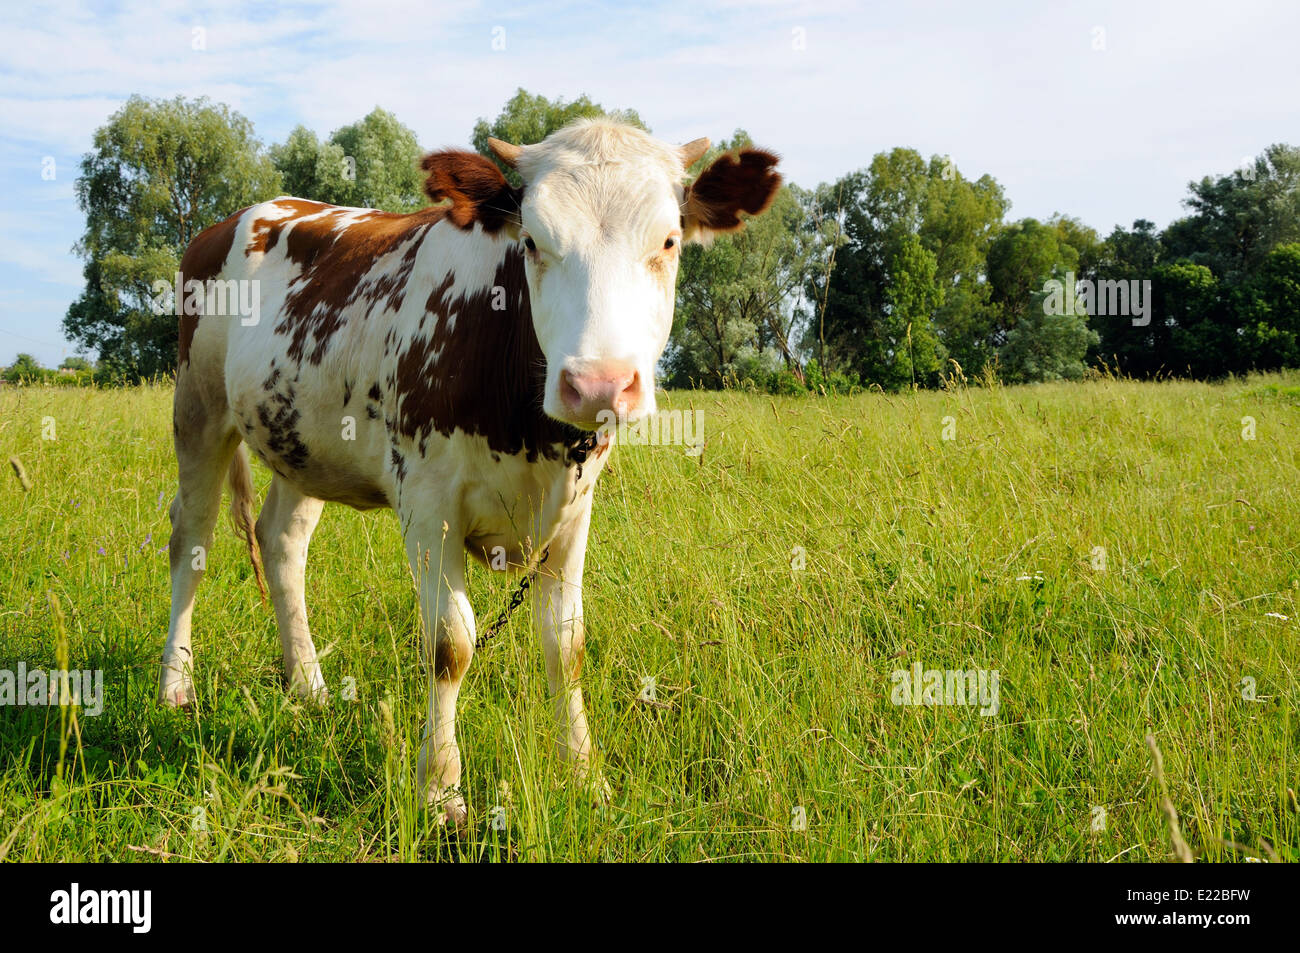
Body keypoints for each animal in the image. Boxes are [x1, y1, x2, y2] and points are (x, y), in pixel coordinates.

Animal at [158, 118, 781, 828]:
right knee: (192, 538)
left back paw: (309, 686)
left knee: (282, 542)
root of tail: (242, 215)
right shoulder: (428, 505)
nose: (597, 384)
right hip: (197, 409)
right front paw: (440, 791)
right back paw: (176, 684)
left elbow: (566, 644)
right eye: (533, 241)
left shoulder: (574, 513)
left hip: (301, 439)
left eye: (669, 240)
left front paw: (583, 775)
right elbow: (450, 644)